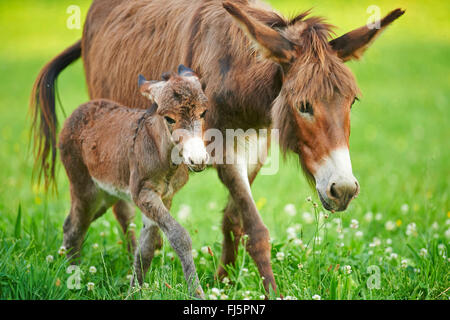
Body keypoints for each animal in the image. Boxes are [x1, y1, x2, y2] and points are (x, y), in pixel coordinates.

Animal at [57, 65, 209, 298]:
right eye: (169, 119)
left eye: (203, 113)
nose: (198, 160)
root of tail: (80, 109)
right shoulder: (143, 193)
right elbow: (179, 237)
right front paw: (197, 293)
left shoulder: (164, 197)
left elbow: (145, 249)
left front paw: (134, 291)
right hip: (85, 189)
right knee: (74, 229)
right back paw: (74, 279)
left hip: (105, 196)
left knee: (72, 224)